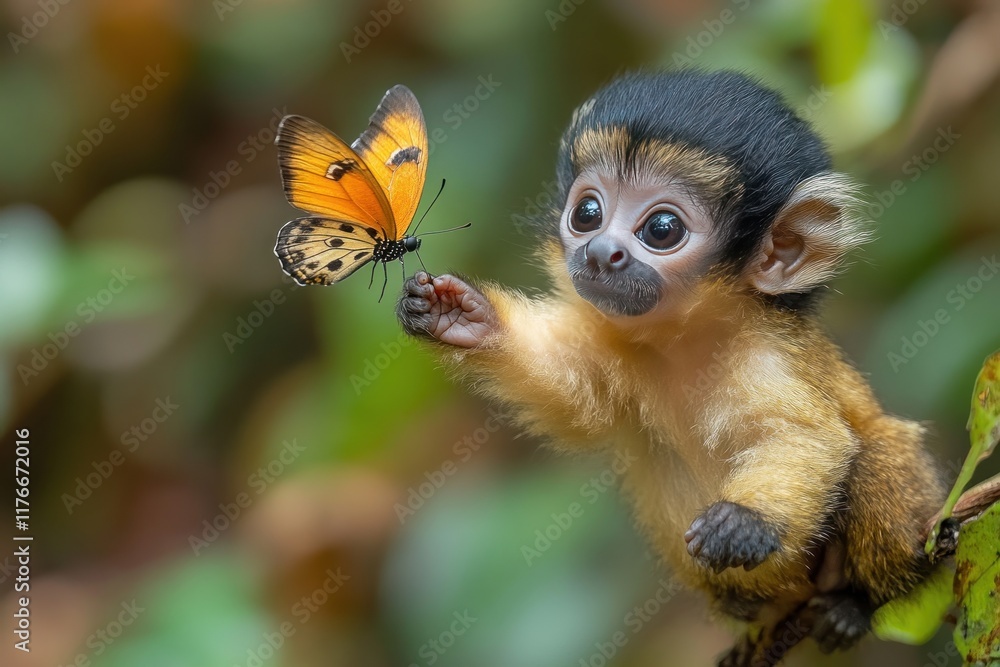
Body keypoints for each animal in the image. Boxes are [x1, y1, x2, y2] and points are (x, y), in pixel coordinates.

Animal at [395, 70, 945, 664]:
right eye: (587, 213)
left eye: (661, 228)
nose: (600, 252)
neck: (685, 339)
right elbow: (578, 401)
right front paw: (460, 316)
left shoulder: (768, 354)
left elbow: (806, 436)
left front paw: (746, 520)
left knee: (877, 448)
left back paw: (855, 604)